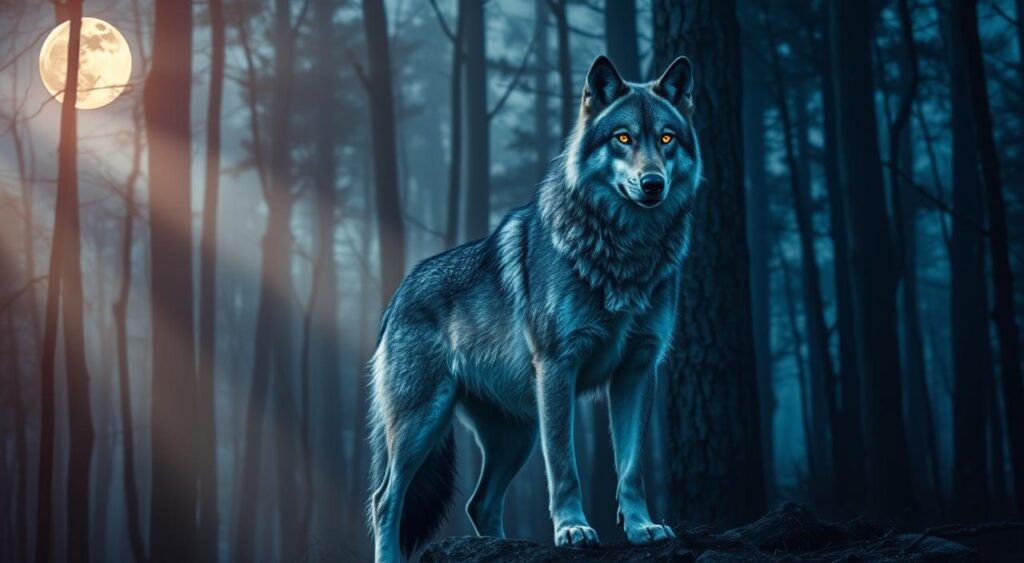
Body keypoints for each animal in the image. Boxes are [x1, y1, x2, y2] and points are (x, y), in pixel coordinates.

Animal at [367, 54, 702, 562]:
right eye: (623, 138)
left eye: (666, 138)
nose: (652, 184)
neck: (626, 254)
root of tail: (396, 295)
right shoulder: (558, 367)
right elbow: (564, 466)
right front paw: (573, 529)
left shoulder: (638, 370)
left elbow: (631, 468)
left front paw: (642, 527)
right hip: (422, 423)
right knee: (385, 499)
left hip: (515, 435)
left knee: (479, 502)